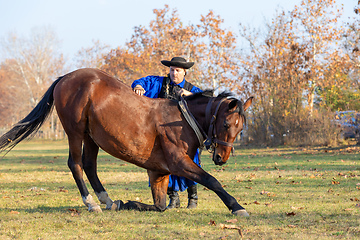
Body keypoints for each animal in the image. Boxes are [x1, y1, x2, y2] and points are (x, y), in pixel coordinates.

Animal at [0, 68, 253, 217]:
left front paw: (129, 203)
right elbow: (212, 180)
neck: (182, 120)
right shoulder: (179, 163)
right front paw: (237, 207)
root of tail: (66, 77)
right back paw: (91, 203)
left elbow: (161, 205)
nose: (221, 158)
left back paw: (108, 200)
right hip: (75, 131)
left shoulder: (159, 172)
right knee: (76, 164)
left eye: (241, 128)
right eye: (226, 124)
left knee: (89, 166)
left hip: (91, 137)